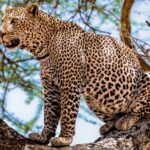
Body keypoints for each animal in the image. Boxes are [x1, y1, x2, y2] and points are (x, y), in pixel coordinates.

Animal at [0, 2, 149, 147]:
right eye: (2, 20)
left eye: (14, 21)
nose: (1, 33)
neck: (42, 48)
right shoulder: (50, 88)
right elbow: (49, 114)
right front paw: (44, 137)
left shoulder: (69, 84)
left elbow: (67, 113)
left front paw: (64, 139)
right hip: (91, 99)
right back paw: (109, 125)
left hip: (145, 79)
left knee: (141, 110)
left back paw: (126, 119)